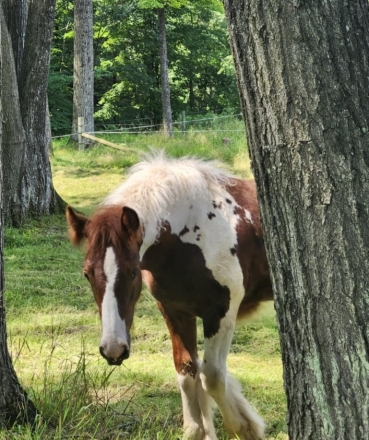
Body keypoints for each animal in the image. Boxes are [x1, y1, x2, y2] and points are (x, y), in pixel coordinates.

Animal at [67, 151, 274, 440]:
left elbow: (212, 376)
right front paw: (197, 429)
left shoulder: (221, 312)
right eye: (87, 273)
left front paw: (245, 427)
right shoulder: (175, 310)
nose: (113, 350)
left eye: (133, 272)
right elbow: (187, 371)